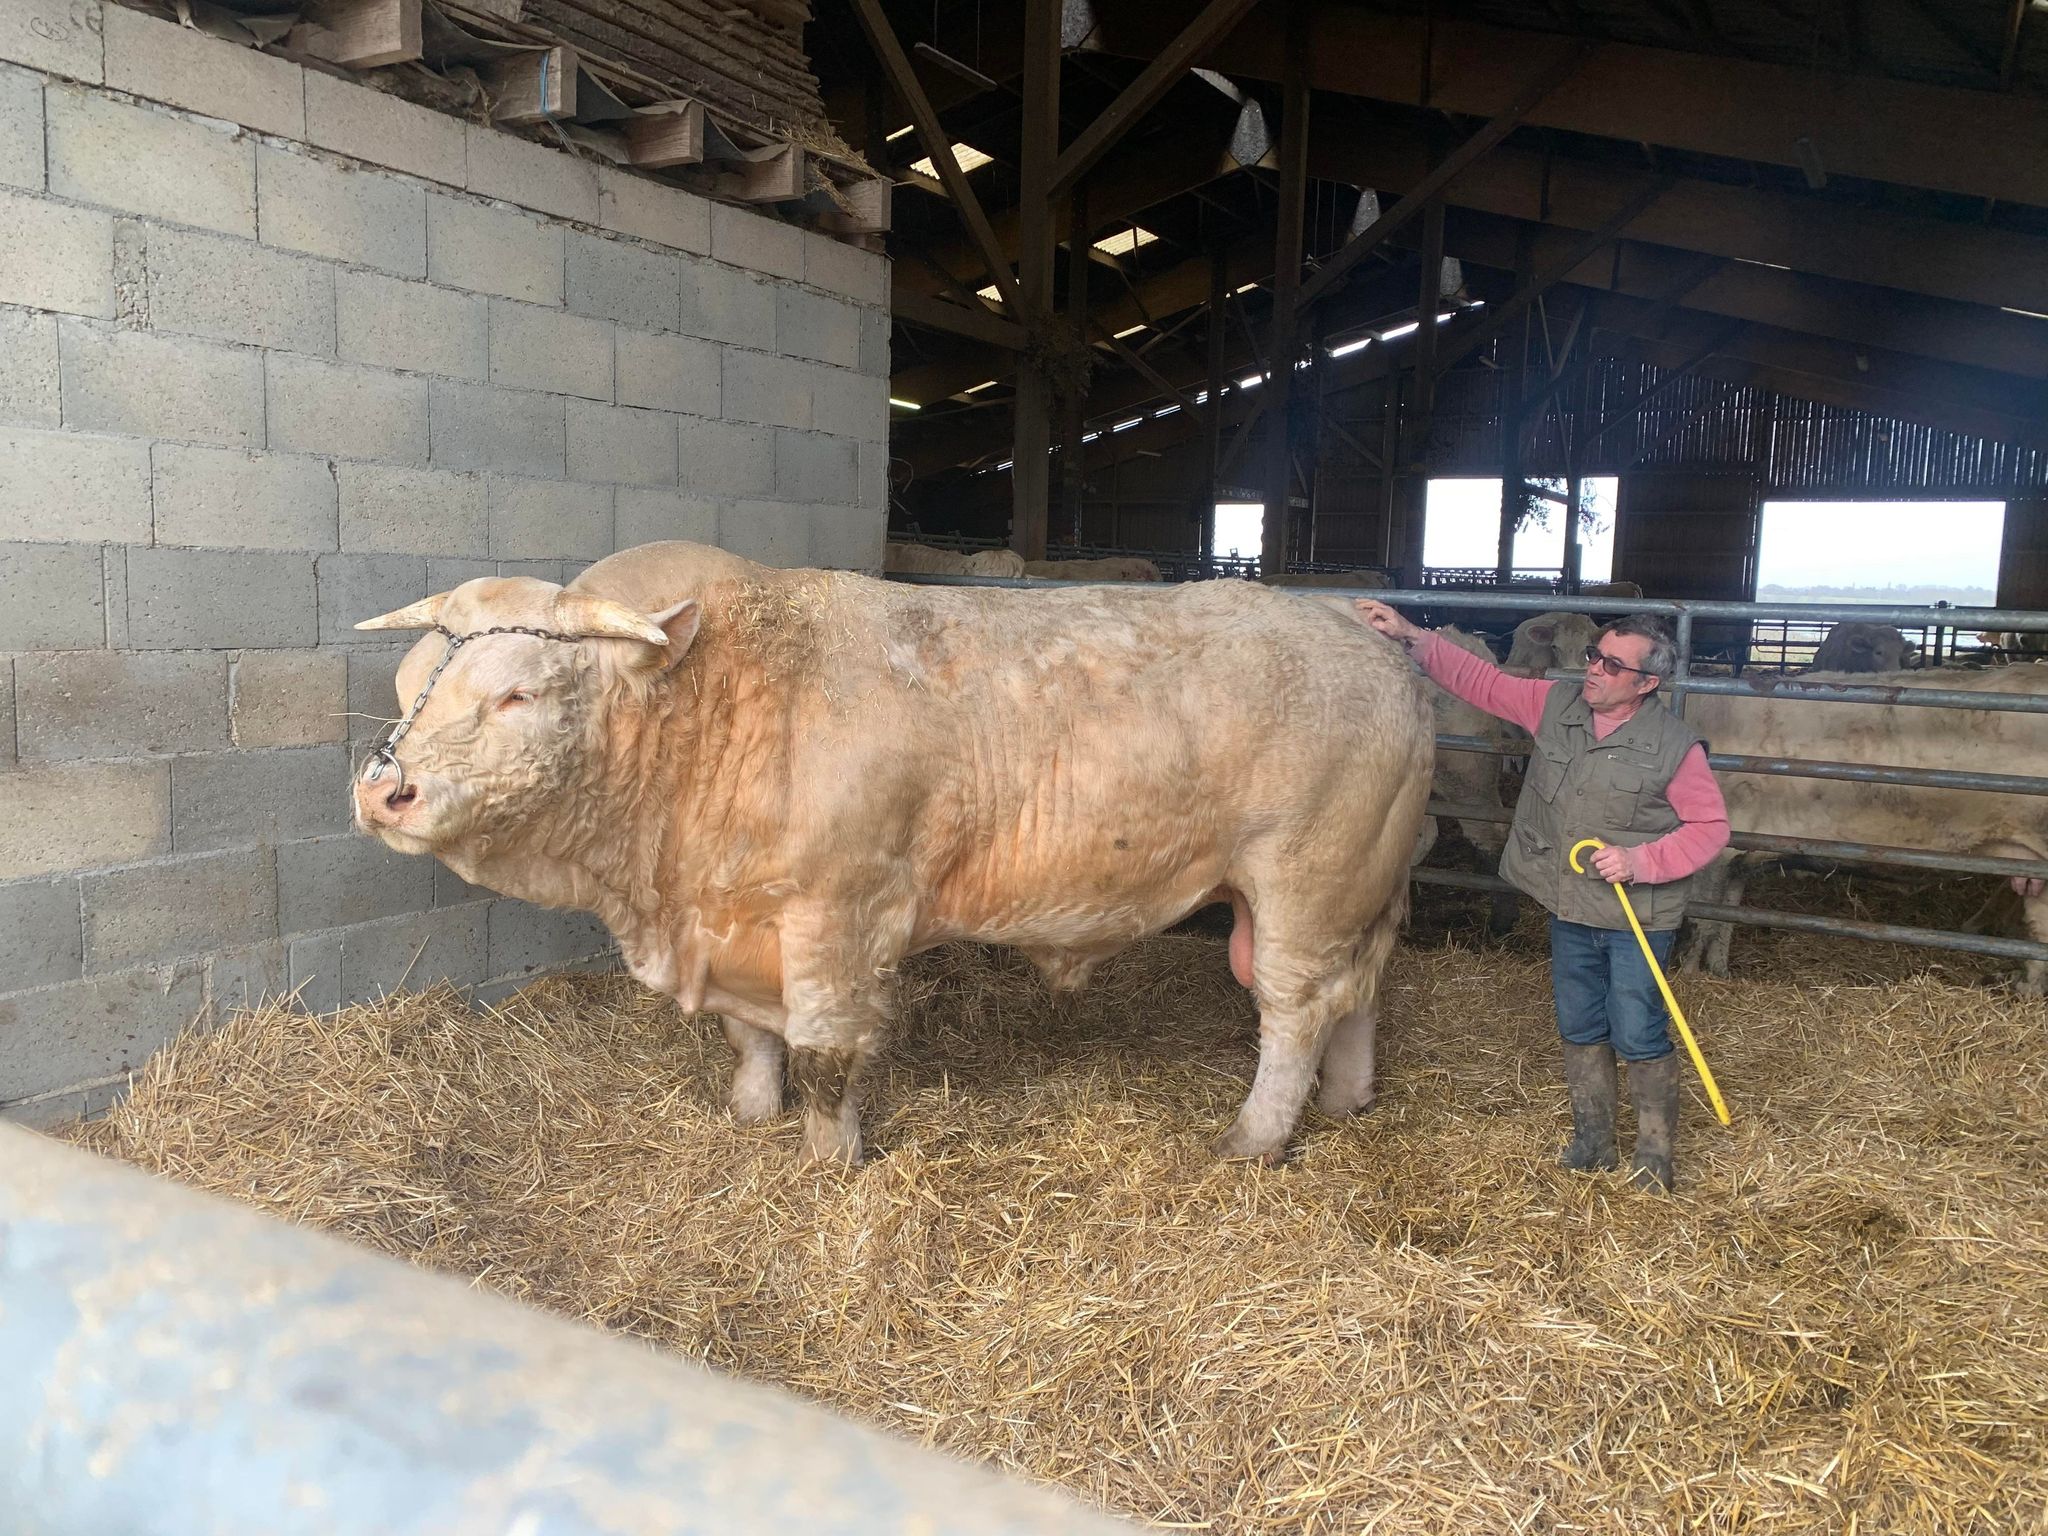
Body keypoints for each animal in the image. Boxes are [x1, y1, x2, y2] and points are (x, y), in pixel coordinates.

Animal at [1678, 665, 2048, 991]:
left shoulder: (1716, 853)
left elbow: (1702, 920)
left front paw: (1689, 974)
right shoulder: (1739, 858)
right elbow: (1724, 919)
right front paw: (1719, 971)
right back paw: (2023, 986)